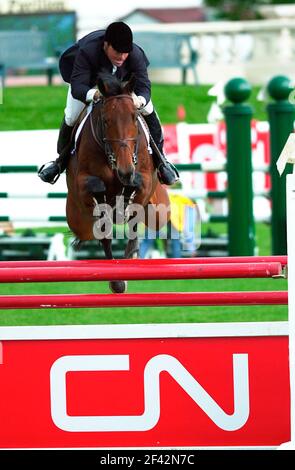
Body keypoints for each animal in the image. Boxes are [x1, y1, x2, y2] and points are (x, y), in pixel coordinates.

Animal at [65, 72, 171, 294]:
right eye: (105, 121)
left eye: (134, 118)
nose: (125, 170)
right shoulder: (82, 183)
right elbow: (98, 191)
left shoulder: (144, 183)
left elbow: (135, 193)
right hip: (76, 217)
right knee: (98, 231)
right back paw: (116, 280)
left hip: (159, 211)